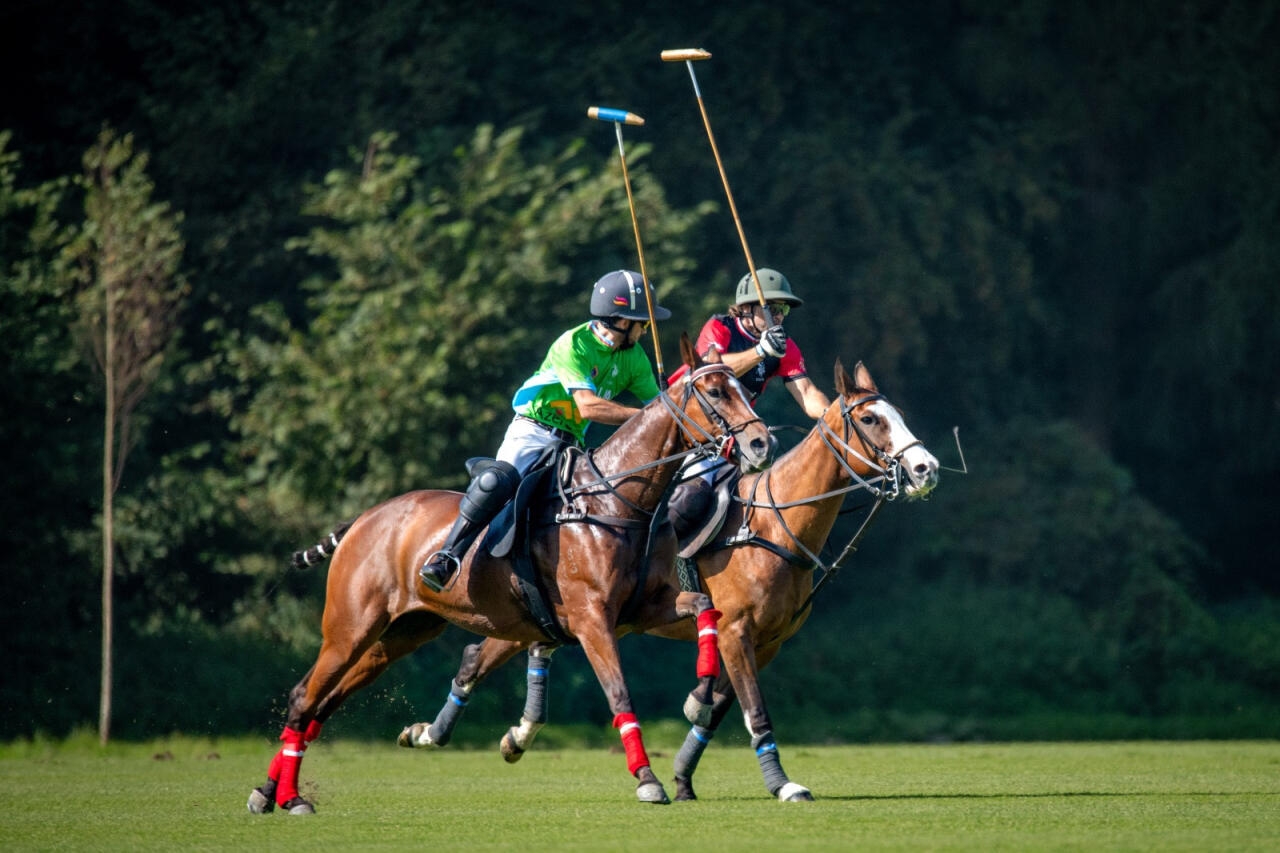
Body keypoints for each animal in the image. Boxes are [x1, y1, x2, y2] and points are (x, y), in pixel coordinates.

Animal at [247, 333, 768, 809]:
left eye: (741, 388)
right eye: (716, 391)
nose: (761, 442)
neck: (614, 502)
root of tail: (363, 519)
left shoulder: (643, 608)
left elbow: (705, 608)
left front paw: (699, 697)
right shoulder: (591, 619)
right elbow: (620, 695)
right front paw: (646, 779)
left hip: (401, 633)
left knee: (325, 702)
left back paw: (271, 792)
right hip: (350, 626)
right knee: (303, 697)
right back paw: (287, 796)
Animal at [401, 356, 942, 799]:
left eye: (895, 414)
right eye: (870, 419)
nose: (926, 468)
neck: (774, 524)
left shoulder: (768, 641)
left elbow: (721, 707)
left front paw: (683, 773)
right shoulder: (737, 631)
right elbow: (754, 709)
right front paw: (783, 785)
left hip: (528, 617)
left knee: (480, 655)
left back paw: (470, 733)